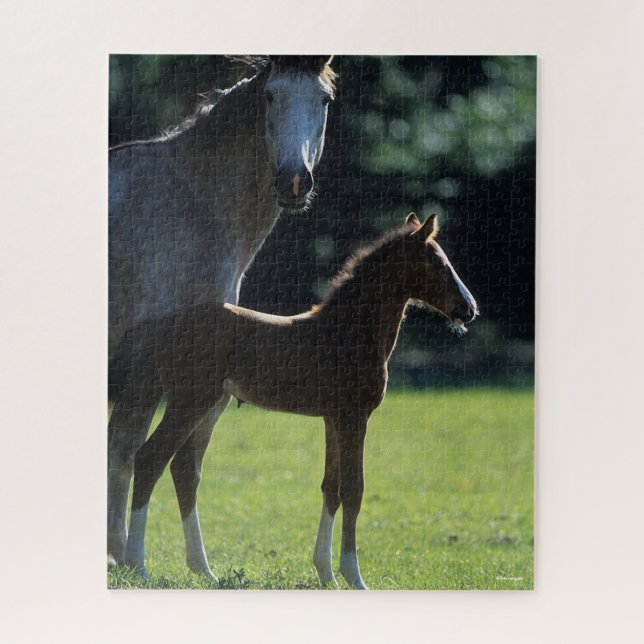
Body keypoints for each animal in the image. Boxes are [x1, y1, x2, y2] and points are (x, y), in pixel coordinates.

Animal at [108, 55, 336, 571]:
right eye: (270, 95)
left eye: (324, 100)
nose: (294, 181)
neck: (191, 205)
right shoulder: (148, 368)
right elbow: (128, 449)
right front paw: (123, 556)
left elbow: (177, 460)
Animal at [114, 213, 478, 588]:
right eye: (437, 263)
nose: (468, 308)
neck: (347, 333)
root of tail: (163, 326)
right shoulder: (355, 416)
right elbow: (354, 489)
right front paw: (354, 576)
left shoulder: (333, 418)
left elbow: (331, 487)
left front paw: (326, 574)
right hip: (191, 401)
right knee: (150, 459)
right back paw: (137, 564)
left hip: (205, 403)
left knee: (181, 468)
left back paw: (202, 568)